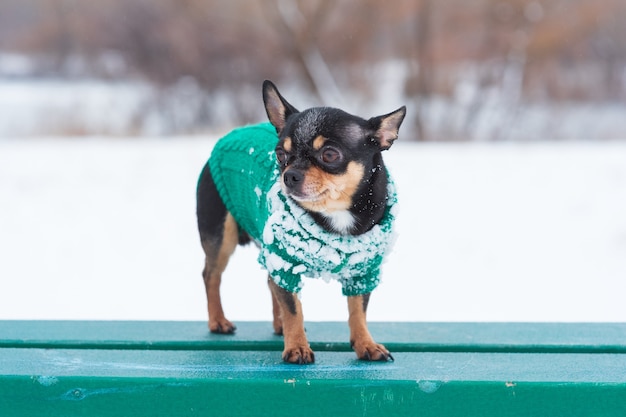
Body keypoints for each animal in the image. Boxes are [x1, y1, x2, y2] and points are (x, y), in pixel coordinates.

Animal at [197, 79, 408, 362]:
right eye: (279, 154)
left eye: (330, 155)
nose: (289, 175)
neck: (334, 213)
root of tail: (230, 136)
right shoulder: (284, 260)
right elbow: (293, 309)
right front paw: (297, 346)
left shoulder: (362, 271)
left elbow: (358, 310)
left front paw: (366, 344)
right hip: (221, 237)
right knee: (212, 275)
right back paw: (218, 321)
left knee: (269, 281)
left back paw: (278, 325)